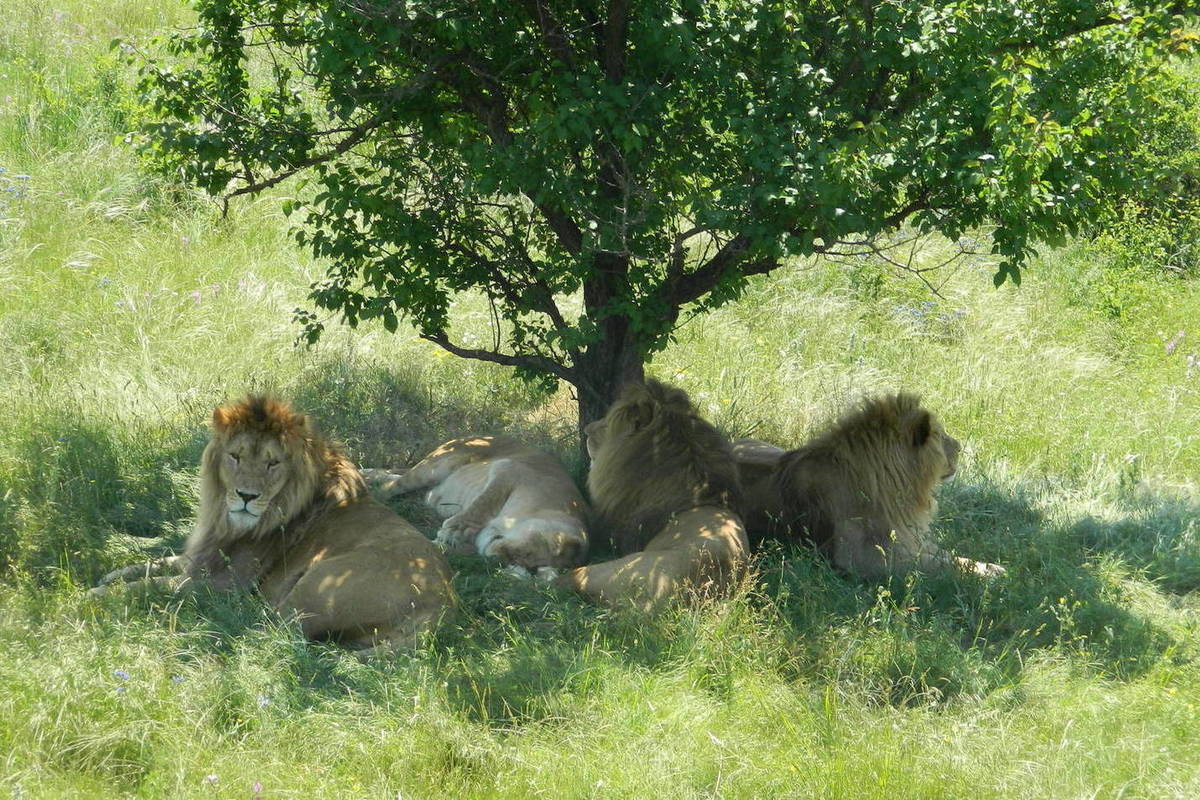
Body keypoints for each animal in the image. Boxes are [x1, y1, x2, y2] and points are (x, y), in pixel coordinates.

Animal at [93, 393, 456, 652]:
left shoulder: (222, 582)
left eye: (272, 463)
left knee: (272, 631)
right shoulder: (203, 556)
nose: (246, 495)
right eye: (235, 456)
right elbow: (156, 563)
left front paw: (93, 594)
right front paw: (111, 573)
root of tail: (442, 603)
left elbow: (149, 585)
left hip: (317, 583)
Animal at [364, 438, 590, 575]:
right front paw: (453, 530)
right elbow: (483, 502)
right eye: (526, 555)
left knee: (393, 476)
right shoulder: (509, 469)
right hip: (435, 467)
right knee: (390, 487)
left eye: (531, 569)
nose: (494, 558)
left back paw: (366, 475)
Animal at [729, 393, 1003, 582]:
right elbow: (937, 566)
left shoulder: (911, 541)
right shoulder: (865, 559)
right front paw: (990, 577)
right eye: (942, 436)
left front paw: (991, 568)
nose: (959, 448)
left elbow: (952, 558)